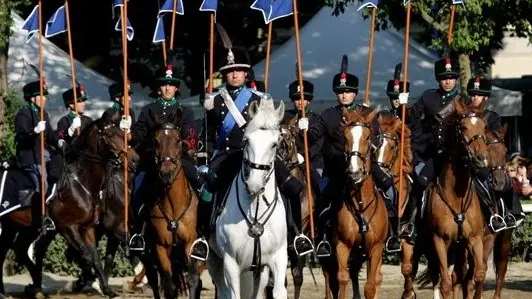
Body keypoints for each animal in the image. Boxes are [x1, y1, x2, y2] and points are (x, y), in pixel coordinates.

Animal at [0, 113, 128, 298]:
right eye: (110, 134)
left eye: (121, 131)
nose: (128, 157)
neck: (80, 182)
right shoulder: (67, 227)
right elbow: (85, 256)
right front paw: (85, 282)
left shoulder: (87, 228)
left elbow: (95, 258)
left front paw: (106, 289)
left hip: (20, 226)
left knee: (17, 248)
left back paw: (34, 286)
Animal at [148, 112, 204, 299]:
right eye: (155, 140)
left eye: (178, 140)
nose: (166, 173)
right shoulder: (160, 247)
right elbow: (169, 285)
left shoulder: (190, 243)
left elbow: (193, 280)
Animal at [207, 98, 286, 299]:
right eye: (247, 140)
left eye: (275, 144)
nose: (254, 185)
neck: (255, 209)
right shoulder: (231, 264)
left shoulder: (277, 259)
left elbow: (279, 291)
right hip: (214, 261)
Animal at [328, 108, 386, 299]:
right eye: (345, 137)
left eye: (367, 137)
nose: (355, 171)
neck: (360, 204)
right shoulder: (342, 245)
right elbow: (341, 279)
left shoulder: (375, 248)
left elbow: (370, 286)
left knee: (376, 278)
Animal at [422, 99, 488, 299]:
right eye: (463, 127)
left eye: (484, 126)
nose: (481, 159)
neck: (456, 197)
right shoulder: (440, 242)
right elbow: (445, 284)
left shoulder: (474, 239)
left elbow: (479, 276)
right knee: (439, 277)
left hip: (460, 249)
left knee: (460, 277)